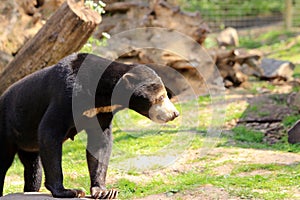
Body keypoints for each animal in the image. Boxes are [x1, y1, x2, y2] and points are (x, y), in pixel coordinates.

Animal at [0, 52, 178, 198]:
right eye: (160, 97)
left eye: (165, 95)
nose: (175, 114)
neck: (101, 94)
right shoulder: (66, 96)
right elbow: (49, 131)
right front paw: (69, 191)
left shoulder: (102, 111)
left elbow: (100, 143)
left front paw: (105, 192)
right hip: (7, 128)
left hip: (26, 143)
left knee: (33, 168)